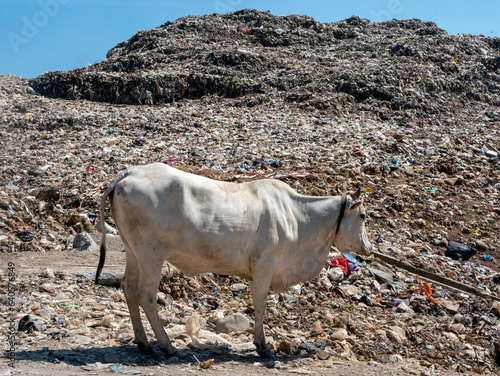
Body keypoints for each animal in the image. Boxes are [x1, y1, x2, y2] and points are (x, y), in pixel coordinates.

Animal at [96, 164, 372, 358]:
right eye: (363, 215)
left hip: (133, 252)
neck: (299, 218)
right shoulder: (265, 266)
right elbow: (260, 304)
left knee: (129, 288)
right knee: (146, 295)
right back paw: (167, 346)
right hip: (151, 255)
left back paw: (143, 343)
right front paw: (262, 346)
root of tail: (129, 172)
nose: (368, 247)